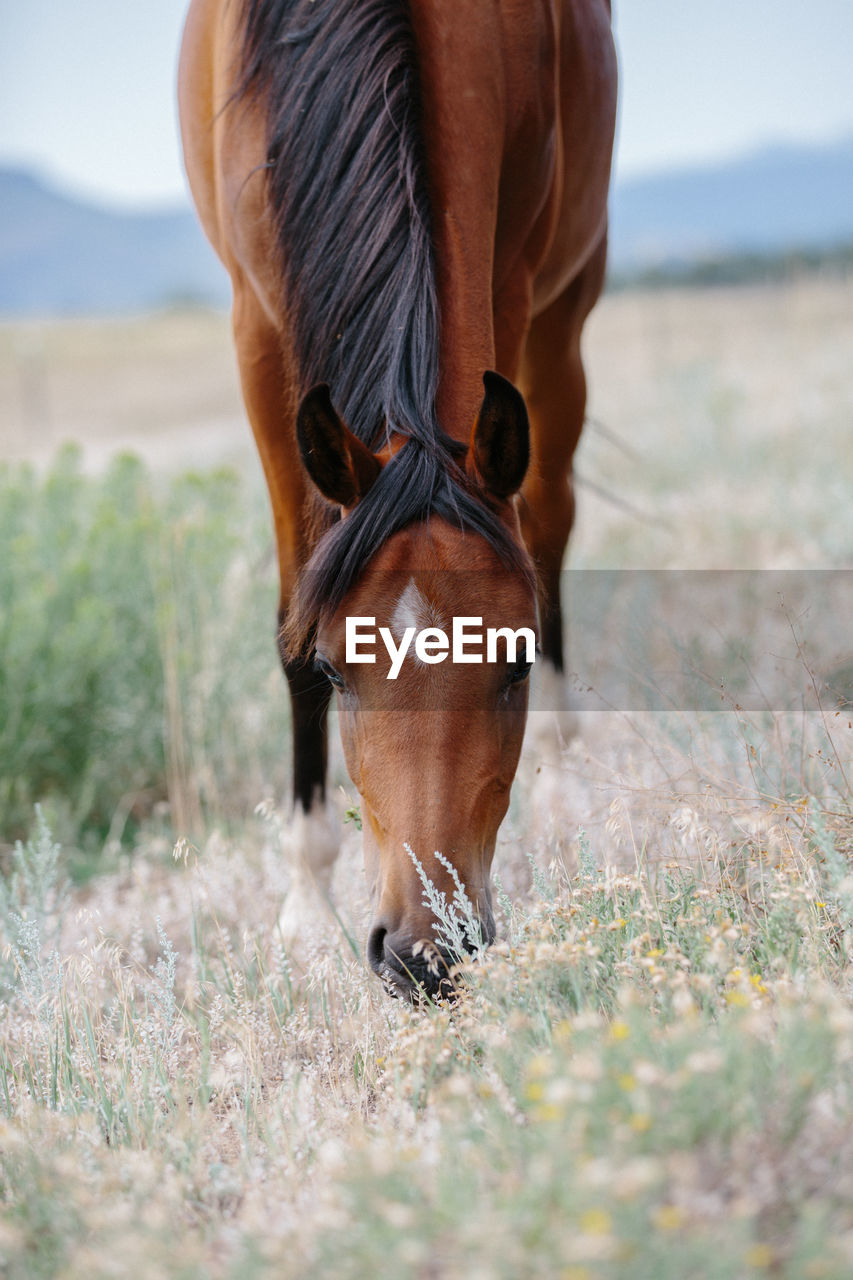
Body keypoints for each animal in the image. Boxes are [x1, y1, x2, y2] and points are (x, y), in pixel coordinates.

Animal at [178, 0, 612, 998]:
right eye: (338, 670)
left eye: (514, 662)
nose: (425, 955)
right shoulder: (257, 335)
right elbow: (290, 619)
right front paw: (303, 910)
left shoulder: (511, 278)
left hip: (566, 309)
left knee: (552, 524)